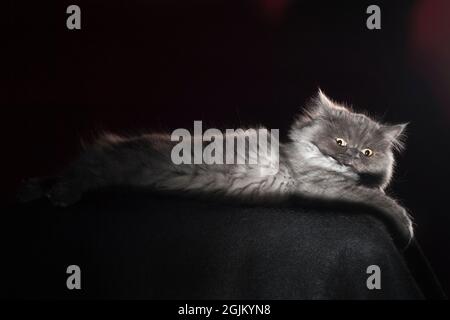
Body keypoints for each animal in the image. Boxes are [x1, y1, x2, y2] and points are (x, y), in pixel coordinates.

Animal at [18, 91, 414, 246]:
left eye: (367, 152)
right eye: (340, 142)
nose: (349, 158)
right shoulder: (317, 184)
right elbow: (379, 200)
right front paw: (405, 225)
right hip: (111, 165)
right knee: (81, 171)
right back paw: (57, 193)